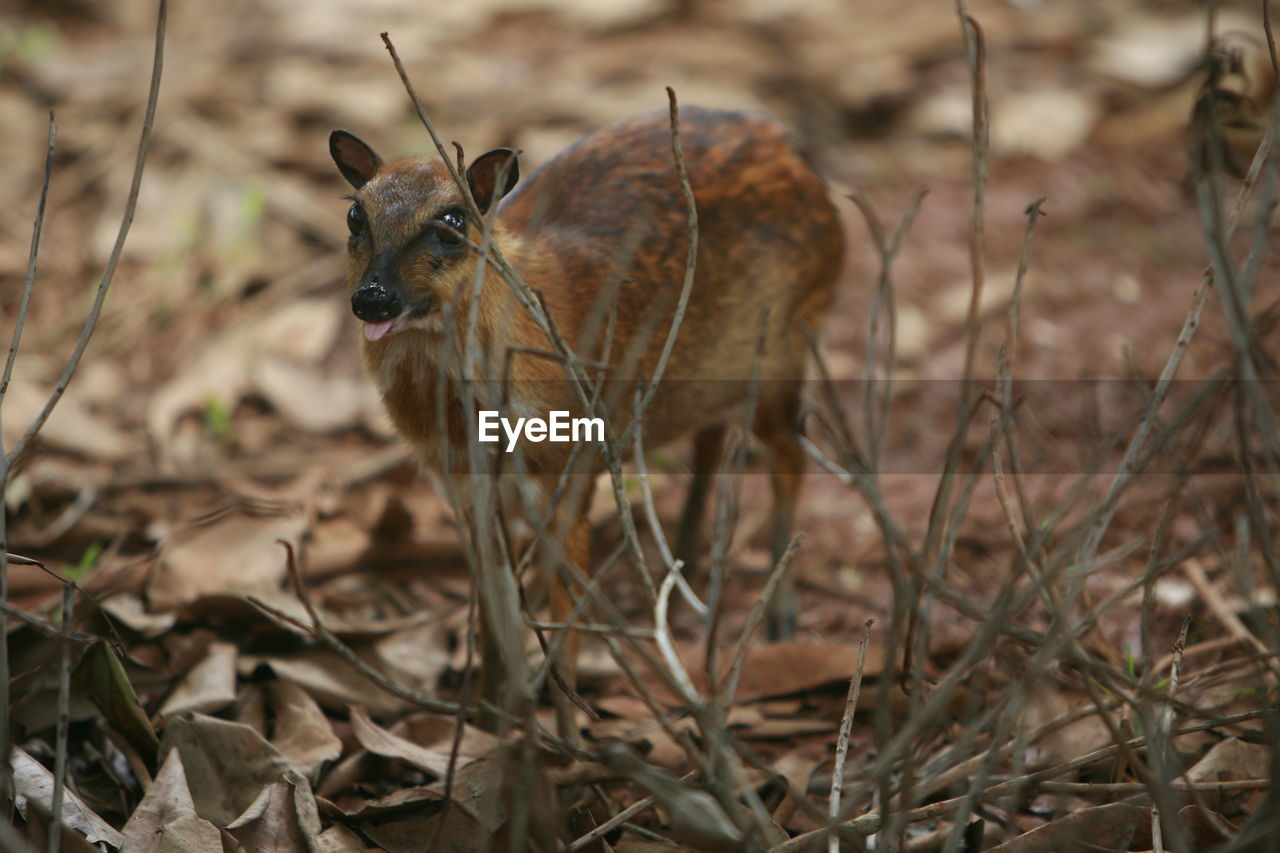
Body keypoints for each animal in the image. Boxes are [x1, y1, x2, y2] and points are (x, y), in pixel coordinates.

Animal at [335, 101, 844, 717]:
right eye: (355, 217)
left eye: (453, 222)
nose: (372, 298)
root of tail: (792, 154)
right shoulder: (461, 488)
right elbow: (493, 608)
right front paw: (489, 707)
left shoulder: (569, 471)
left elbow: (563, 603)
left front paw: (560, 715)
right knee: (711, 439)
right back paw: (683, 576)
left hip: (785, 350)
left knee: (791, 451)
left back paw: (778, 615)